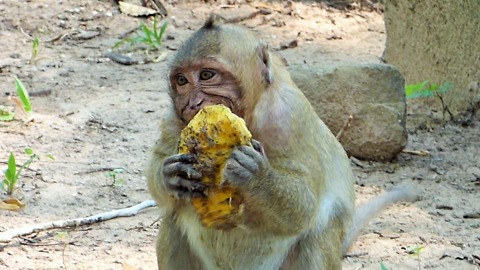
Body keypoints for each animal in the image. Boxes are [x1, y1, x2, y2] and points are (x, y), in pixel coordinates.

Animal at [147, 15, 420, 270]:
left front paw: (256, 175)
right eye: (182, 81)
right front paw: (171, 173)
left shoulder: (288, 116)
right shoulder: (174, 119)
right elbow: (159, 169)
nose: (194, 103)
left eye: (206, 75)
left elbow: (304, 206)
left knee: (319, 234)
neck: (251, 114)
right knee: (172, 219)